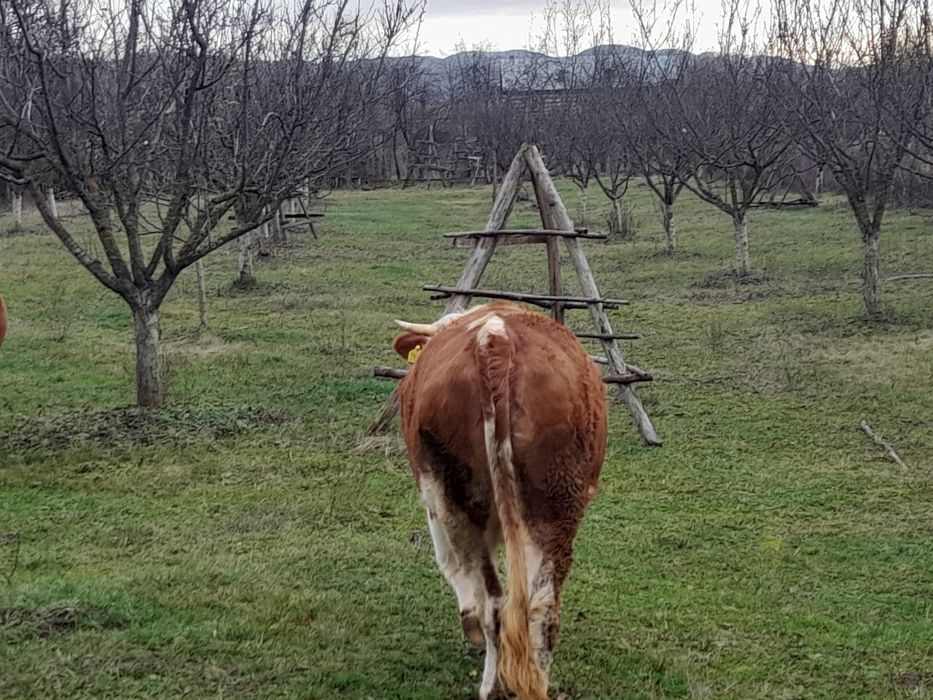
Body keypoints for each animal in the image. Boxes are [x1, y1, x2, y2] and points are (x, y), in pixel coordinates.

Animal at [392, 300, 608, 700]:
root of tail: (495, 336)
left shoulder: (433, 498)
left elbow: (448, 562)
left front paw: (468, 621)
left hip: (459, 498)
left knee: (493, 601)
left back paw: (491, 684)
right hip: (557, 503)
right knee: (542, 604)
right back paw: (534, 681)